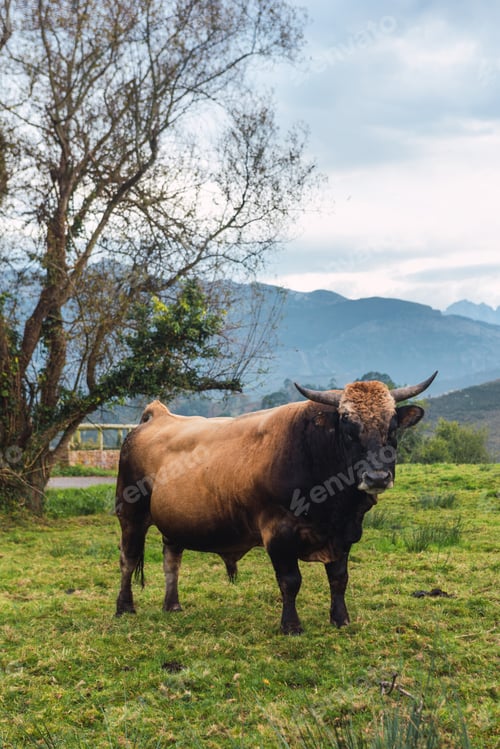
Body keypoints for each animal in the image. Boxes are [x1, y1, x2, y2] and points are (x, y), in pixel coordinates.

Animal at [115, 372, 437, 633]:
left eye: (392, 427)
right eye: (348, 426)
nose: (377, 476)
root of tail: (158, 416)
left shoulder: (345, 534)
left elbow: (339, 578)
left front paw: (340, 619)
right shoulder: (278, 532)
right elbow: (290, 581)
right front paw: (291, 625)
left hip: (173, 521)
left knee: (172, 560)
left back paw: (172, 605)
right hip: (130, 514)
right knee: (128, 560)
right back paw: (125, 607)